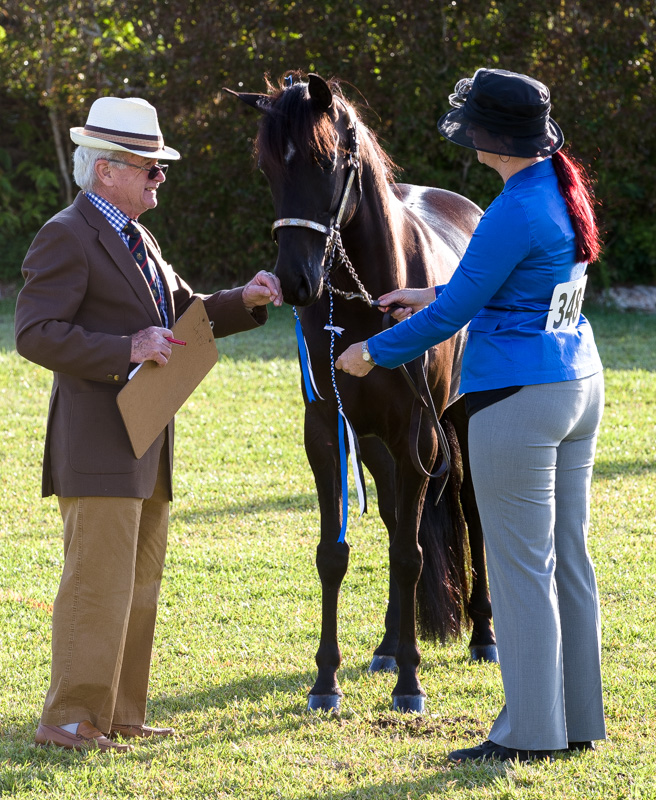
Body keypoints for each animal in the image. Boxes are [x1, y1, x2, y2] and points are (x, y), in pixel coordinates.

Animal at [227, 73, 498, 712]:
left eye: (325, 162)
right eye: (267, 168)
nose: (295, 282)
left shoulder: (418, 437)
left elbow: (410, 554)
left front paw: (411, 685)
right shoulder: (329, 434)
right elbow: (337, 553)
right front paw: (327, 681)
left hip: (456, 426)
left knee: (469, 513)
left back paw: (482, 634)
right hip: (377, 445)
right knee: (400, 516)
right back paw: (388, 646)